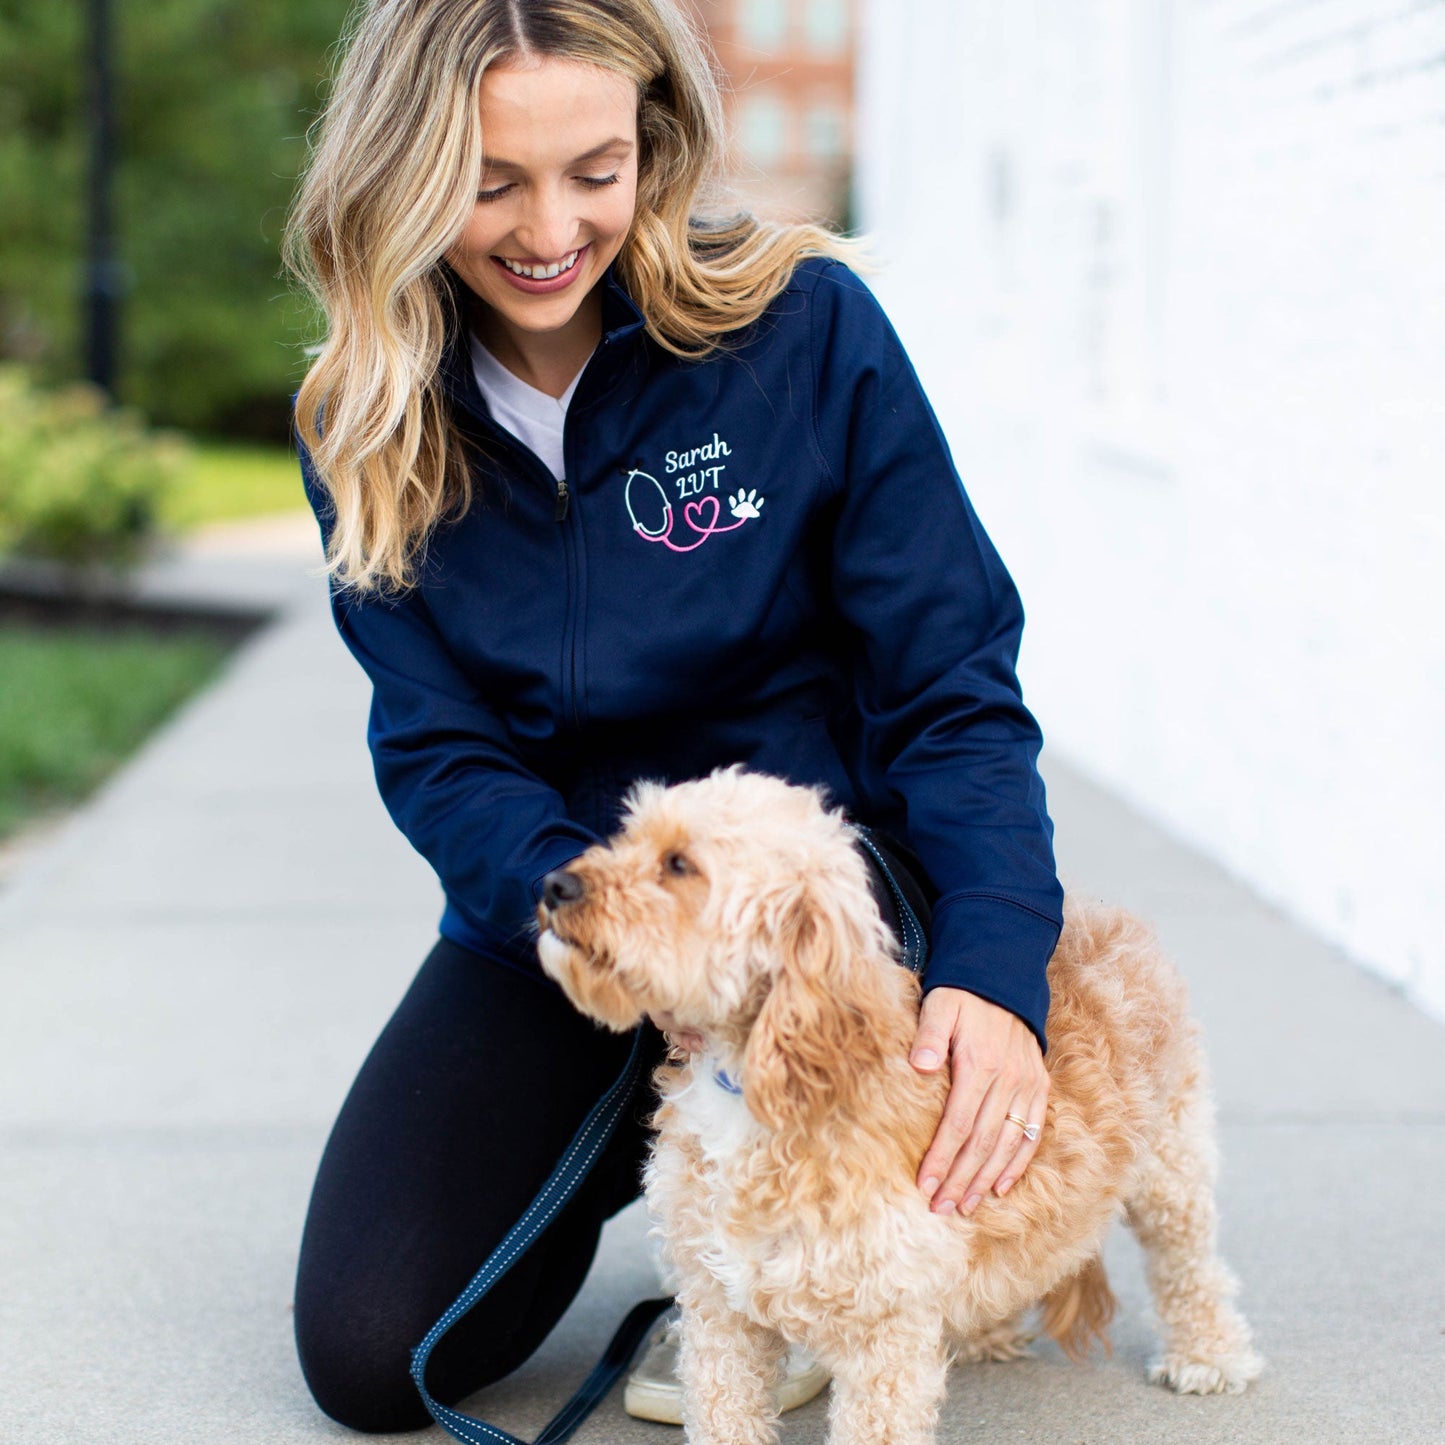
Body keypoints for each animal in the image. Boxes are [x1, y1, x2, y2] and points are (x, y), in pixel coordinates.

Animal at [537, 774, 1260, 1439]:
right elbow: (722, 1413)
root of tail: (1103, 911)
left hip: (1170, 1162)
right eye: (626, 837)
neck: (759, 1076)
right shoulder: (719, 1308)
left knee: (1188, 1261)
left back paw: (1208, 1353)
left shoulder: (882, 1330)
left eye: (680, 864)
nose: (554, 886)